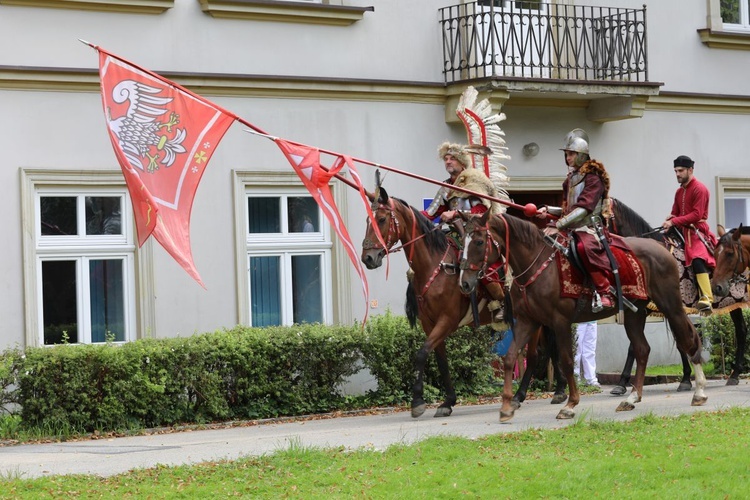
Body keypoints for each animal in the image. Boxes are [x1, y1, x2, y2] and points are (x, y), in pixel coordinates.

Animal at [360, 188, 564, 418]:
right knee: (550, 348)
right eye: (367, 219)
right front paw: (447, 401)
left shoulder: (446, 321)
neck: (435, 265)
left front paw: (418, 401)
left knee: (535, 354)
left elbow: (421, 354)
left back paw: (520, 396)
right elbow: (441, 360)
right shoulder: (429, 323)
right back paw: (559, 390)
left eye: (382, 219)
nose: (368, 257)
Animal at [458, 211, 712, 422]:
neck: (536, 265)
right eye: (463, 241)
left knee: (687, 339)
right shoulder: (527, 322)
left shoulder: (559, 322)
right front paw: (507, 407)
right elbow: (511, 358)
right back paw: (631, 398)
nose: (464, 283)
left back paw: (699, 391)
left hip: (670, 305)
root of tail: (661, 248)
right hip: (635, 314)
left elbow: (566, 361)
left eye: (479, 242)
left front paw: (569, 405)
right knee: (642, 349)